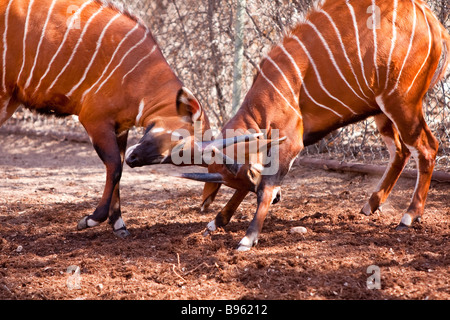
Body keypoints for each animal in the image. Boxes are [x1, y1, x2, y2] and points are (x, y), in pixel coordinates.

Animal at [0, 0, 220, 238]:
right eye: (180, 139)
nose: (135, 160)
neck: (140, 75)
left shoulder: (120, 127)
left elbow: (118, 168)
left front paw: (119, 224)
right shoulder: (95, 120)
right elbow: (114, 166)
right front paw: (92, 219)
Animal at [125, 0, 446, 250]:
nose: (131, 157)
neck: (270, 89)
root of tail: (434, 24)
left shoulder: (292, 141)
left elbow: (266, 185)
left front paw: (247, 238)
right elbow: (257, 180)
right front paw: (216, 221)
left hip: (401, 102)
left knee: (427, 147)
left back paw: (408, 217)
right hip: (382, 109)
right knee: (401, 151)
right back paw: (371, 205)